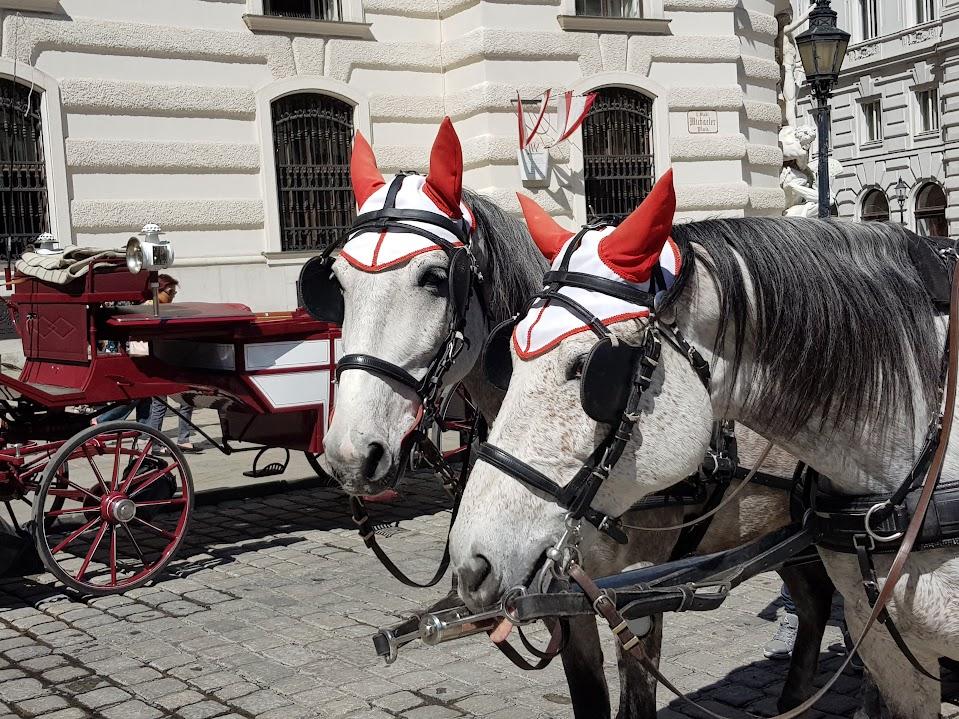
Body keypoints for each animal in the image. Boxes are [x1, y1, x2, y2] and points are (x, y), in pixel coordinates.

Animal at [318, 121, 836, 716]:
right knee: (817, 599)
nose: (350, 455)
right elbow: (588, 696)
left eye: (433, 277)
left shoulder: (637, 593)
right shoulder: (560, 598)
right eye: (337, 282)